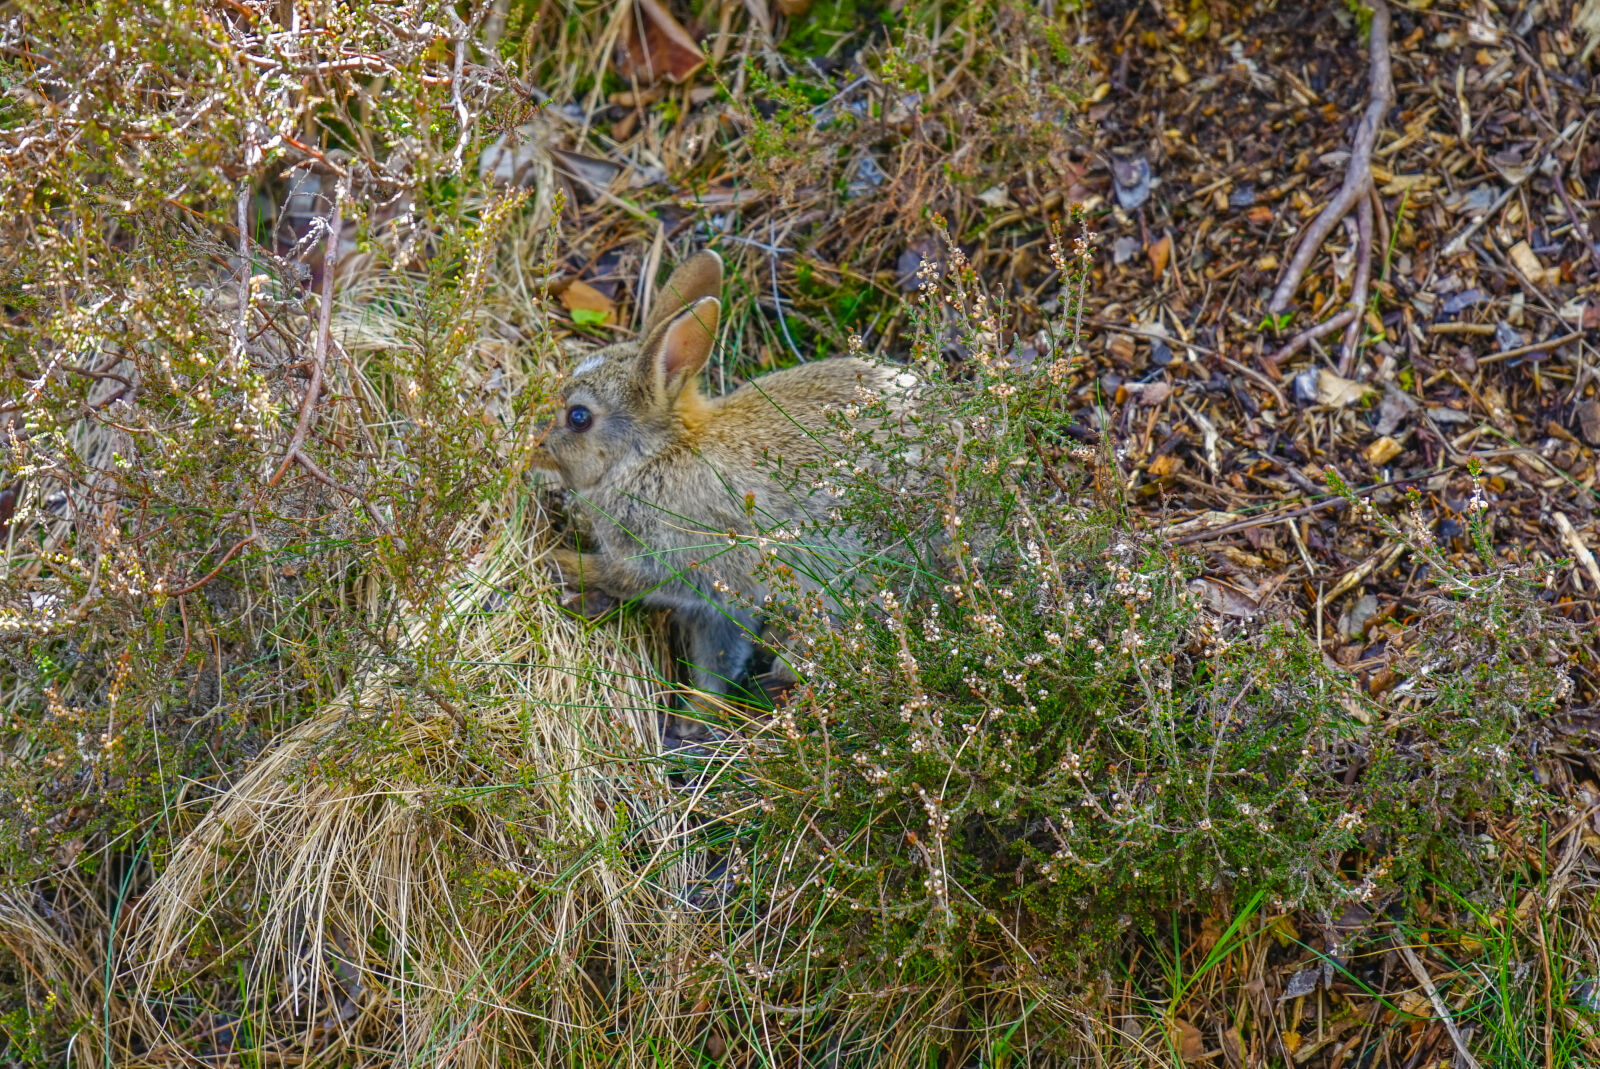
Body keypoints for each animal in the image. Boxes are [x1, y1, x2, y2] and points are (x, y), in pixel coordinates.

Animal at [540, 251, 908, 700]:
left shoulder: (682, 562)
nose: (532, 445)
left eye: (578, 417)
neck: (651, 456)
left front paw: (557, 561)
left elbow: (620, 578)